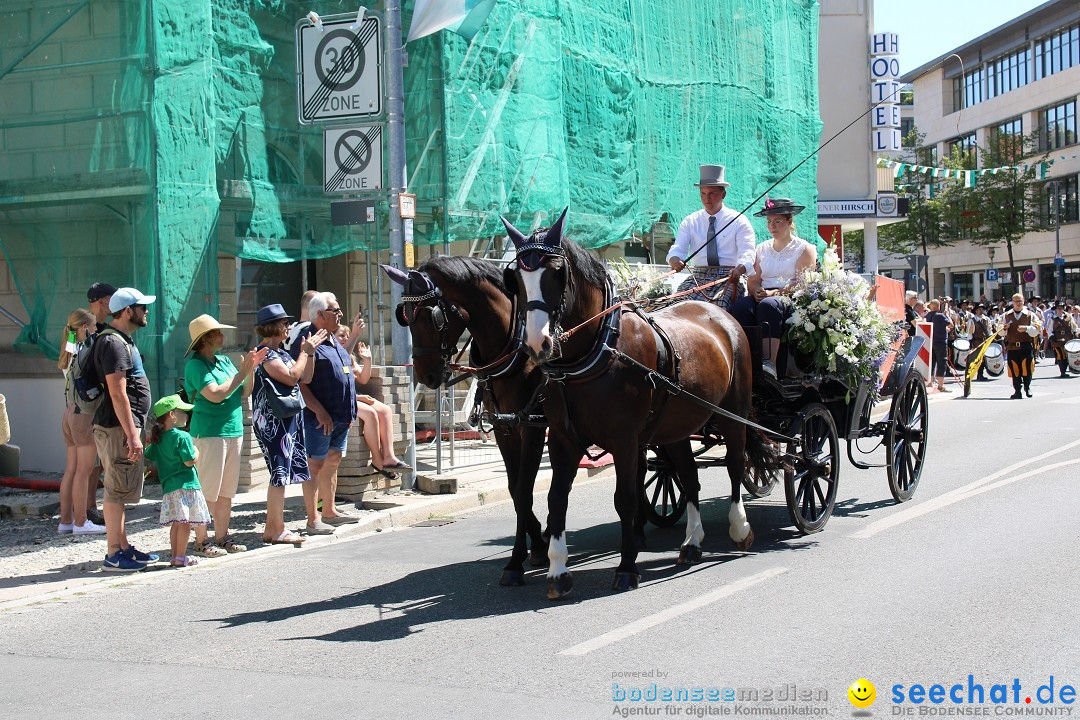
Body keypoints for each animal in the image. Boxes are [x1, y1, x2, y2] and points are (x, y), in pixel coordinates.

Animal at [384, 259, 548, 587]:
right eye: (403, 316)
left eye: (433, 317)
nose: (426, 376)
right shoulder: (505, 428)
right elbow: (514, 489)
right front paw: (532, 547)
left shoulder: (532, 426)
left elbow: (525, 488)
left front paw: (519, 558)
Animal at [501, 208, 773, 595]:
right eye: (517, 281)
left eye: (556, 272)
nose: (537, 344)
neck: (597, 350)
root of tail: (721, 314)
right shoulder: (562, 440)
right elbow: (555, 500)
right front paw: (557, 571)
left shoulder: (625, 440)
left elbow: (625, 499)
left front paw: (627, 566)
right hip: (676, 425)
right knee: (689, 476)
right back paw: (692, 542)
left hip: (733, 413)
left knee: (735, 463)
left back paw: (739, 528)